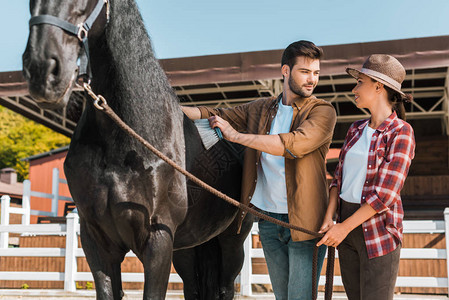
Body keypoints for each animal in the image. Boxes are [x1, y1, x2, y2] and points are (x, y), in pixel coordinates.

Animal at [21, 1, 252, 298]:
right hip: (188, 247)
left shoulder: (158, 240)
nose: (42, 70)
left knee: (226, 286)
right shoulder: (97, 241)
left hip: (231, 242)